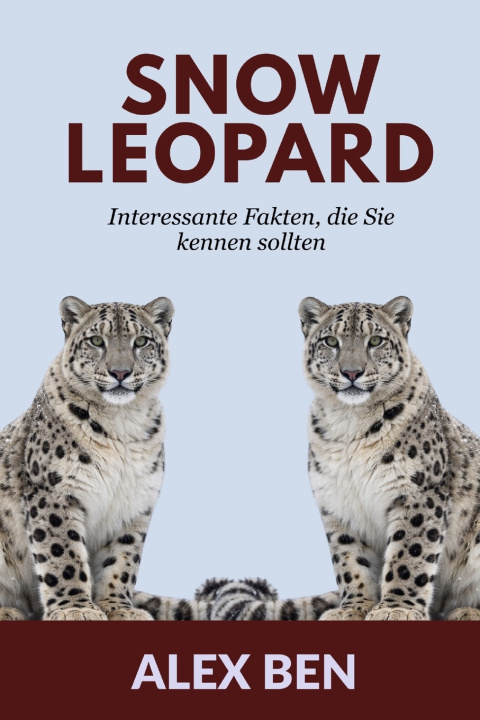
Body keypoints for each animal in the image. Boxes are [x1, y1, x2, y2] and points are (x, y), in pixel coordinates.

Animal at [0, 295, 174, 620]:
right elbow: (63, 554)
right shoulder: (55, 492)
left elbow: (123, 559)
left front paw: (119, 609)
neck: (122, 423)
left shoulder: (134, 502)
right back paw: (9, 611)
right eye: (96, 340)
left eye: (141, 341)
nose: (120, 373)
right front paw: (76, 610)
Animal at [299, 295, 480, 621]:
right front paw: (353, 608)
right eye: (331, 341)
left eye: (375, 340)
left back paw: (466, 612)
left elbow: (410, 554)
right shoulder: (338, 502)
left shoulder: (417, 492)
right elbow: (349, 559)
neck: (349, 422)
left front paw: (396, 610)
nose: (352, 373)